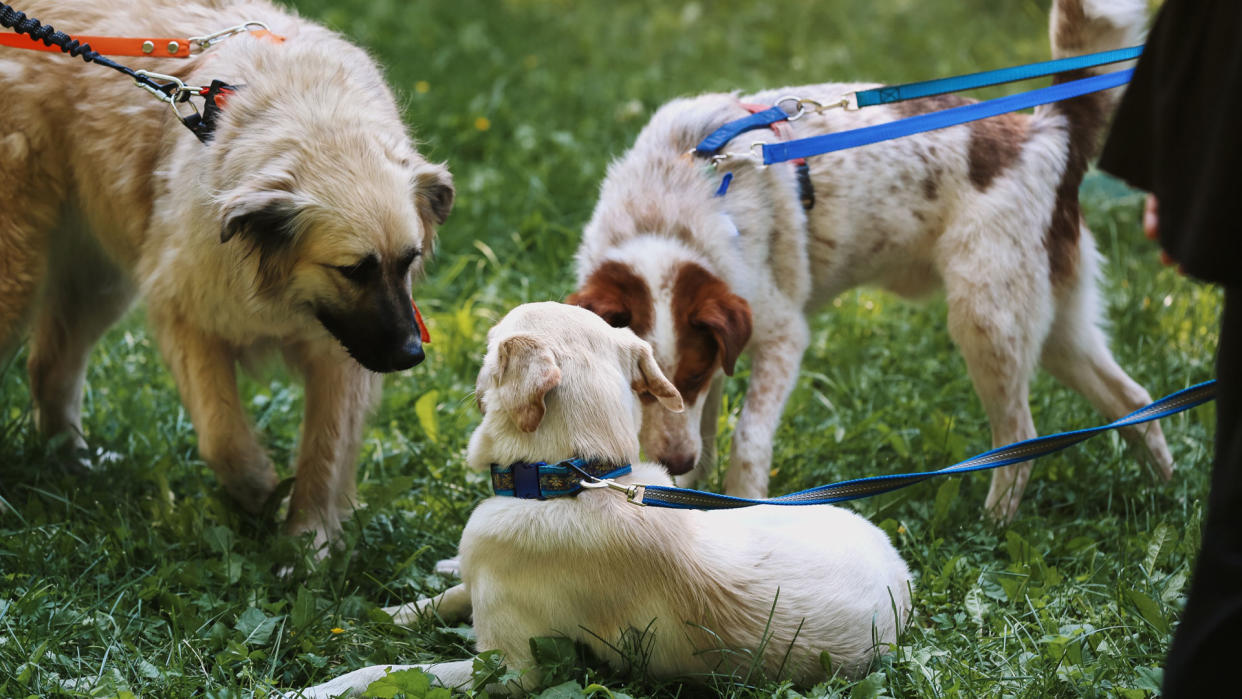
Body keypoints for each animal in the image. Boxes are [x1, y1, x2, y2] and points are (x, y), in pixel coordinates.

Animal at [0, 0, 457, 546]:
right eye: (353, 270)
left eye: (408, 260)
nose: (412, 356)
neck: (316, 119)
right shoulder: (188, 316)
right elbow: (222, 437)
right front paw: (261, 492)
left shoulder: (340, 351)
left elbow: (325, 453)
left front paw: (306, 542)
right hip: (19, 273)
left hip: (98, 278)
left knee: (49, 364)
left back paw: (72, 462)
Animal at [568, 0, 1167, 521]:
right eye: (641, 388)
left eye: (690, 377)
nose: (676, 460)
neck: (665, 210)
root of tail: (1046, 132)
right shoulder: (722, 350)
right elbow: (708, 434)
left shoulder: (780, 334)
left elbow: (748, 438)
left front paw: (742, 505)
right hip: (1053, 325)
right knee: (1135, 401)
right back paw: (1162, 491)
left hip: (987, 320)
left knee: (1020, 437)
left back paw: (994, 525)